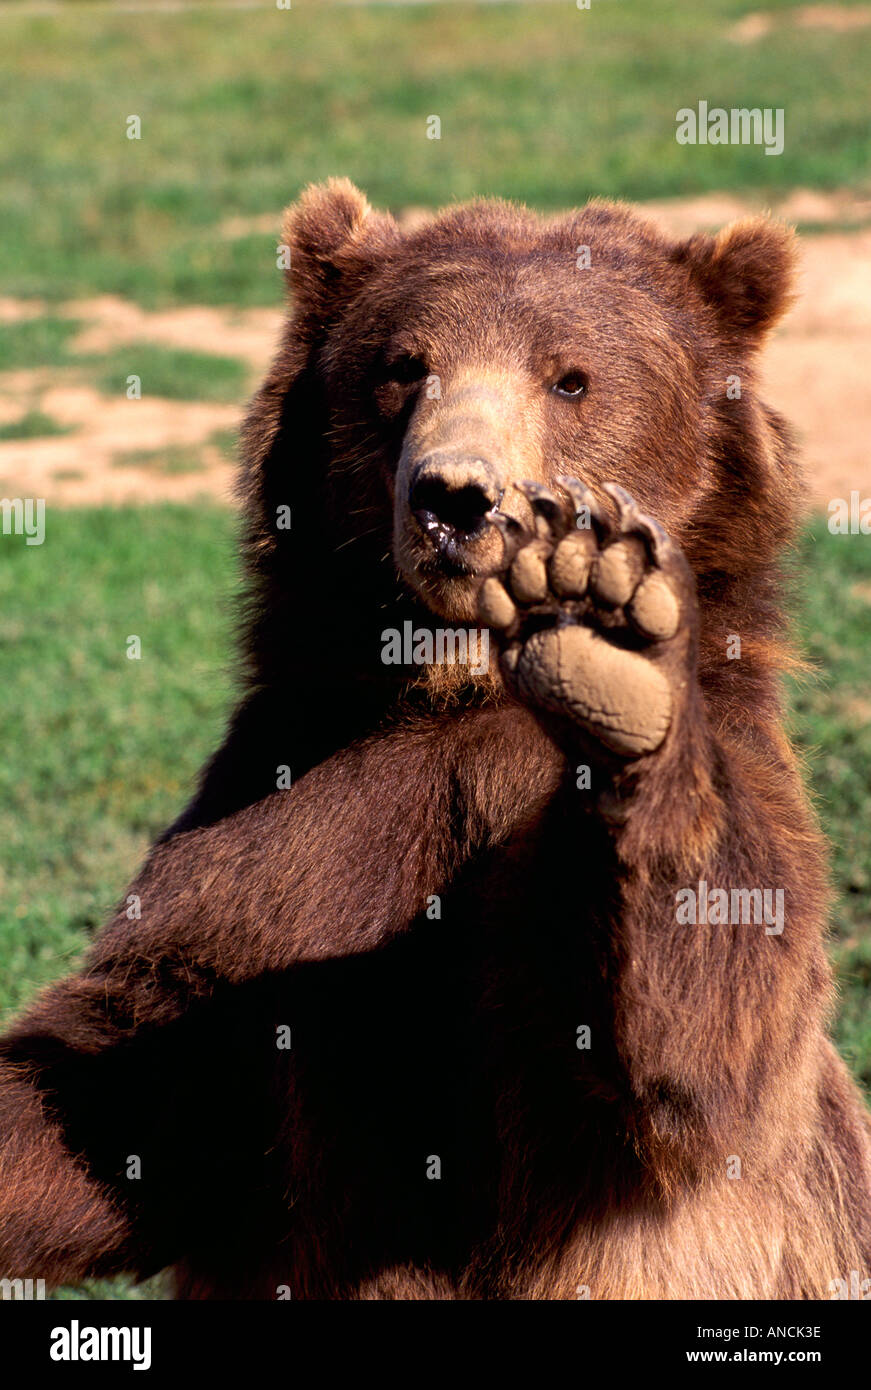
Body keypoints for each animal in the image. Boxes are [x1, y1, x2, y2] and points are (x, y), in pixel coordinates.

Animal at [0, 179, 869, 1300]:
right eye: (402, 365)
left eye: (571, 377)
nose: (456, 497)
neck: (456, 681)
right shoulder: (285, 819)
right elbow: (137, 1072)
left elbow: (697, 1029)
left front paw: (608, 652)